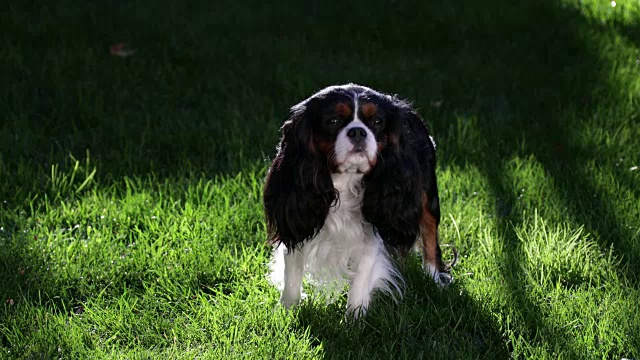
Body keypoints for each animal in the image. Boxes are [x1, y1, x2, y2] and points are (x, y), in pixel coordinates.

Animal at [264, 83, 456, 316]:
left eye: (377, 122)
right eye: (333, 121)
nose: (358, 132)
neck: (346, 182)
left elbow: (361, 280)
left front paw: (354, 319)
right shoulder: (298, 222)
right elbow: (291, 275)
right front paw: (286, 311)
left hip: (427, 196)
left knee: (430, 236)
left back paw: (433, 281)